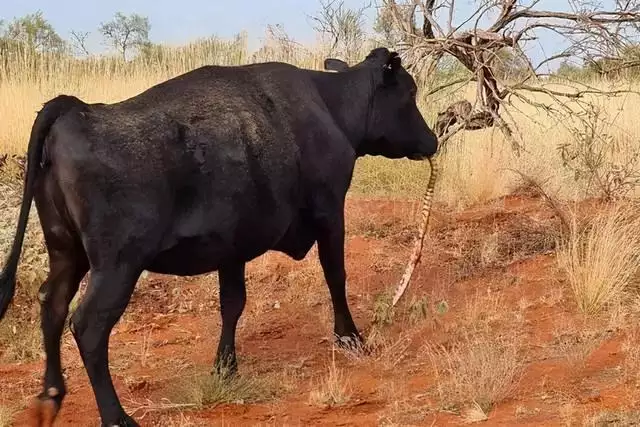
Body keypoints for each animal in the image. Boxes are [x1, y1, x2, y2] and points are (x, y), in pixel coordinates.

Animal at [0, 48, 438, 426]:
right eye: (410, 92)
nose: (432, 141)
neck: (330, 106)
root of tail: (76, 109)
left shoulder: (232, 245)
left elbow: (232, 304)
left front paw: (226, 366)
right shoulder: (331, 212)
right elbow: (336, 276)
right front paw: (350, 337)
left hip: (67, 251)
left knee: (52, 304)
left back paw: (51, 396)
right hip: (117, 265)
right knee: (88, 325)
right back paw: (116, 417)